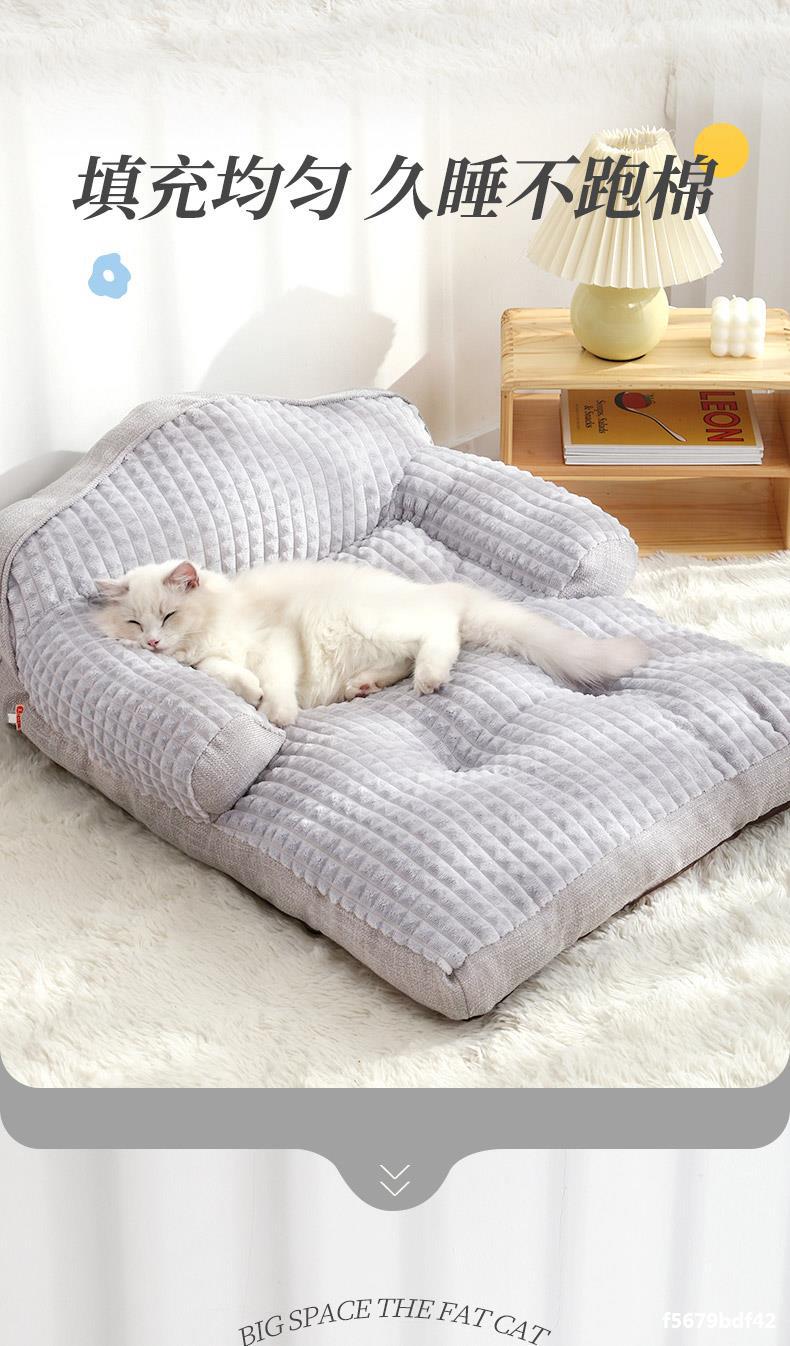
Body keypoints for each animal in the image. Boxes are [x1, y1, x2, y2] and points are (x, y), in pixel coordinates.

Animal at [93, 558, 650, 727]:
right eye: (134, 624)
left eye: (168, 615)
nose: (154, 644)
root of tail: (434, 587)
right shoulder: (207, 662)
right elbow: (224, 672)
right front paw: (250, 692)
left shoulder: (276, 641)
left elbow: (274, 681)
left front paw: (277, 712)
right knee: (407, 656)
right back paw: (362, 686)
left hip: (369, 620)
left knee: (440, 633)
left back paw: (430, 679)